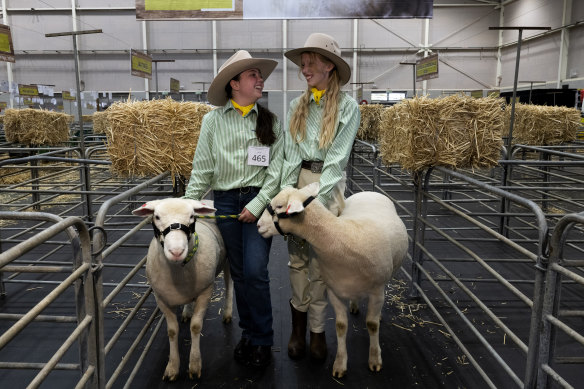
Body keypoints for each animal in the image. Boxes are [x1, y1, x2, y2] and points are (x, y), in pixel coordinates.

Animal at [132, 199, 233, 380]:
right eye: (156, 217)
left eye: (192, 216)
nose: (176, 251)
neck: (178, 272)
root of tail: (206, 201)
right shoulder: (161, 298)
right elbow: (172, 331)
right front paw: (172, 367)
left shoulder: (205, 292)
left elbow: (196, 327)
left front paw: (194, 365)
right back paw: (186, 312)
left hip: (227, 260)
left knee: (230, 284)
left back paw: (227, 313)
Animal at [258, 183, 408, 378]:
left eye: (279, 206)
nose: (258, 225)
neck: (343, 237)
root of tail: (369, 192)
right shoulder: (334, 291)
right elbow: (340, 326)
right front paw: (339, 365)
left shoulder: (376, 291)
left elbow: (372, 324)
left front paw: (375, 360)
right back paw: (354, 305)